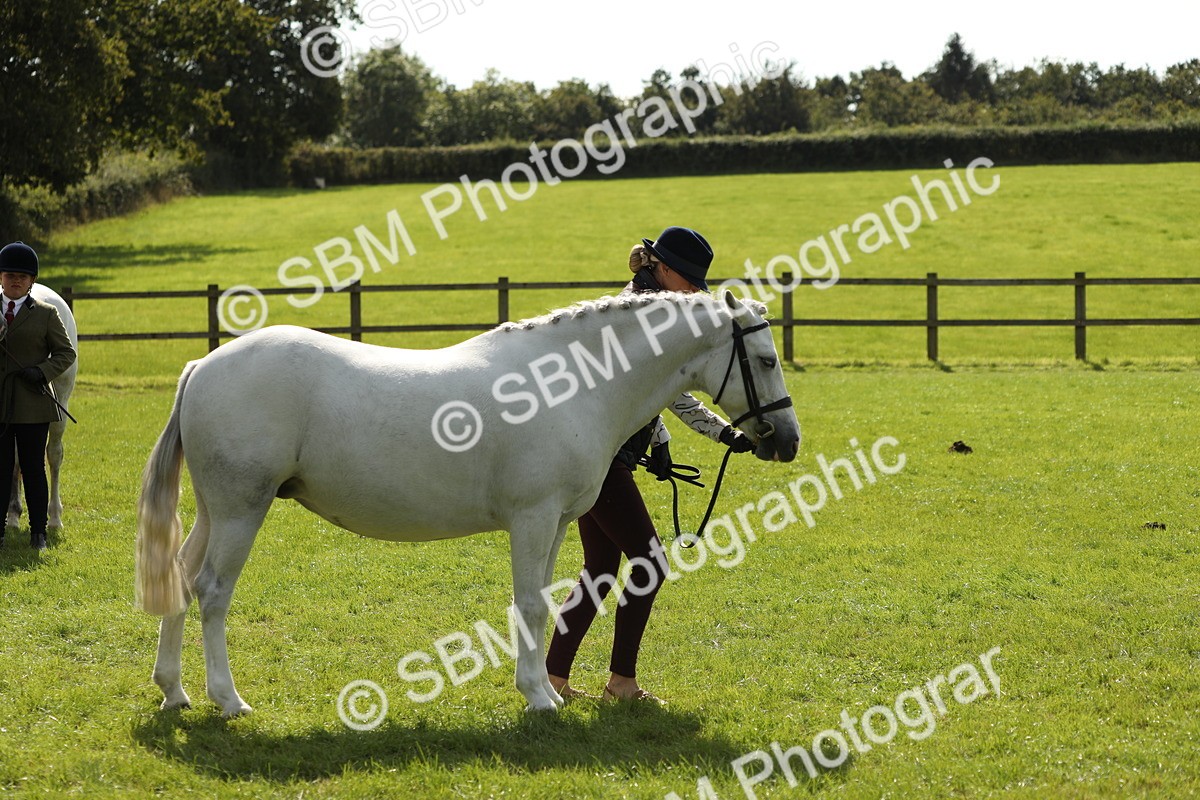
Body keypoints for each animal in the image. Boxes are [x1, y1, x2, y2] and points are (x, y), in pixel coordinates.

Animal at [136, 290, 800, 716]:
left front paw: (544, 691)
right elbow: (529, 604)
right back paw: (228, 701)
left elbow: (543, 604)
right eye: (766, 359)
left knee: (181, 576)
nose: (787, 441)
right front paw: (538, 700)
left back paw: (174, 691)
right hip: (242, 510)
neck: (570, 384)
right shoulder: (531, 518)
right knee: (212, 591)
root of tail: (202, 364)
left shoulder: (556, 523)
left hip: (214, 511)